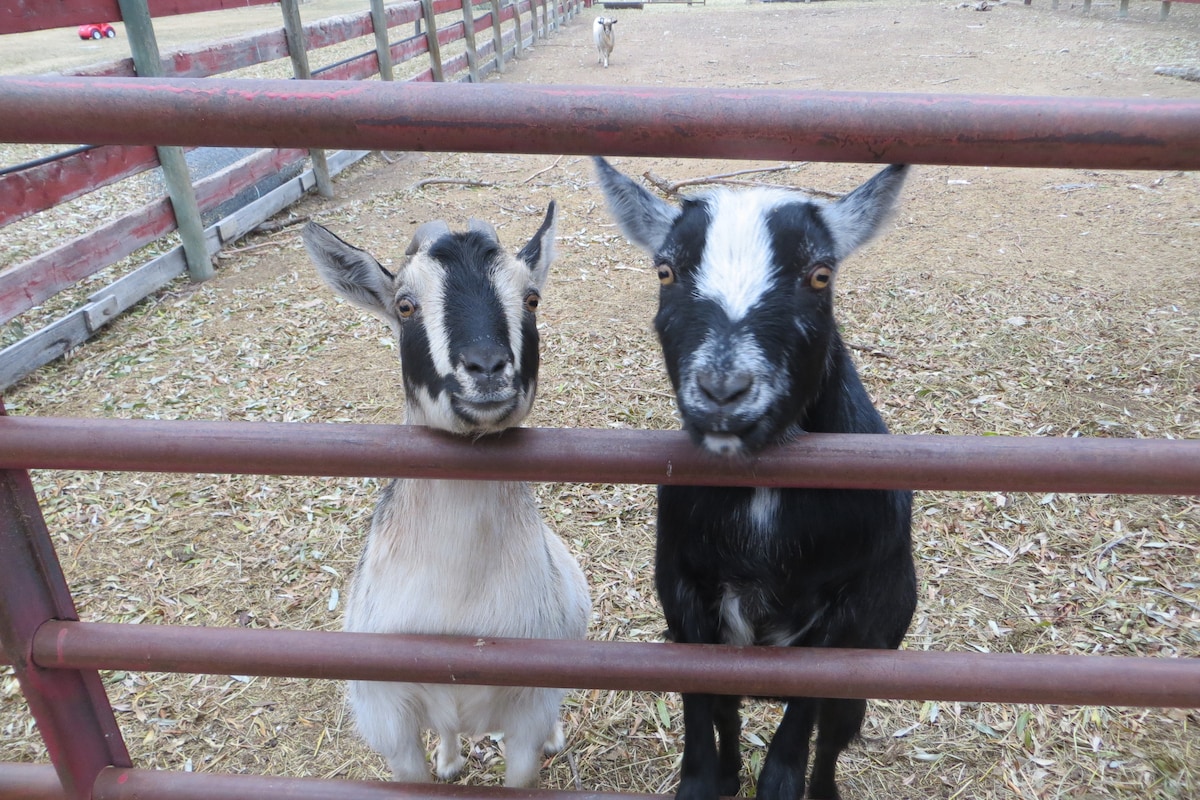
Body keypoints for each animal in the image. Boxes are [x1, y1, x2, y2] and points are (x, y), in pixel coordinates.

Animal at [300, 205, 590, 786]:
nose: (486, 367)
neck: (459, 598)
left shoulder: (525, 717)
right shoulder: (390, 724)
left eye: (531, 298)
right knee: (450, 727)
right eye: (405, 305)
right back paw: (452, 761)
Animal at [592, 158, 916, 800]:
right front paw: (708, 780)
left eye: (820, 275)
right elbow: (705, 706)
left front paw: (780, 782)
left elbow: (799, 735)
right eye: (665, 270)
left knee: (835, 732)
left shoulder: (847, 609)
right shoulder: (683, 590)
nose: (723, 390)